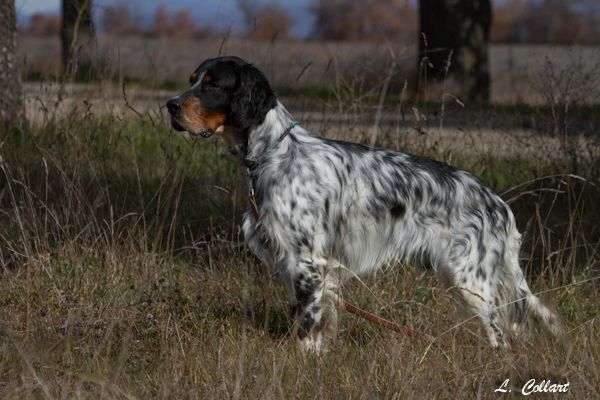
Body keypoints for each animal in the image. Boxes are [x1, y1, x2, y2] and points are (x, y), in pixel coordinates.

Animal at [165, 57, 564, 354]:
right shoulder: (294, 265)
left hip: (470, 280)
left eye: (212, 84)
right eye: (192, 79)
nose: (169, 105)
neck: (276, 154)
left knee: (500, 335)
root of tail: (499, 204)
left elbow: (307, 329)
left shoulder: (308, 262)